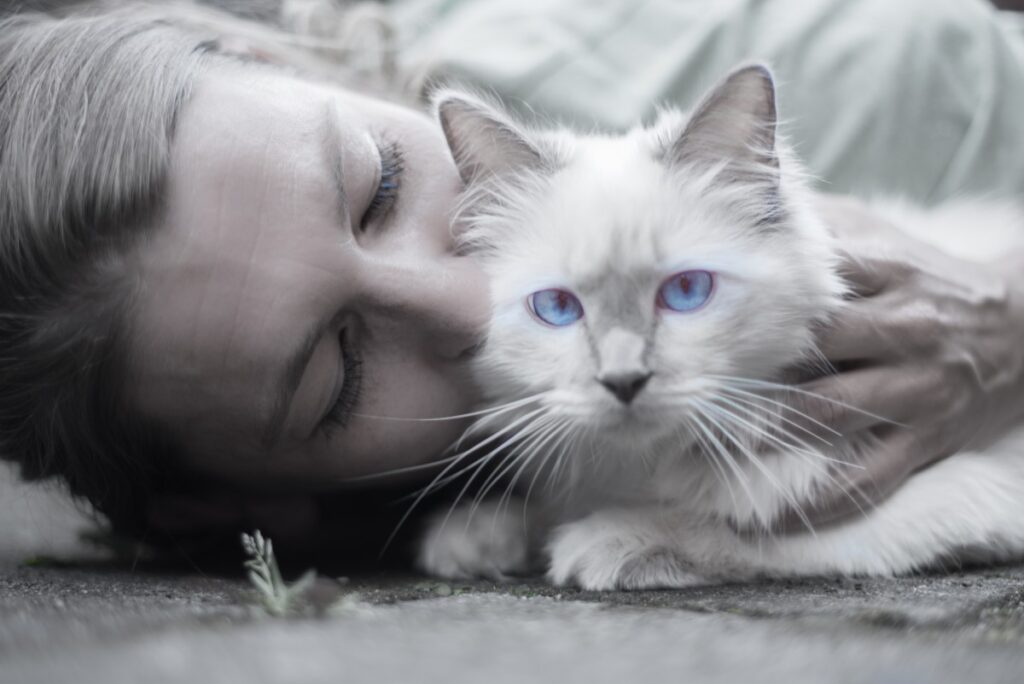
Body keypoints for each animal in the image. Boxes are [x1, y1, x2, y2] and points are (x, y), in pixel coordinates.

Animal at [413, 62, 1024, 589]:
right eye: (558, 308)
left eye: (686, 292)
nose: (623, 381)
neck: (638, 469)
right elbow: (540, 508)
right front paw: (473, 536)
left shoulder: (945, 490)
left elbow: (746, 530)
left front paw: (605, 541)